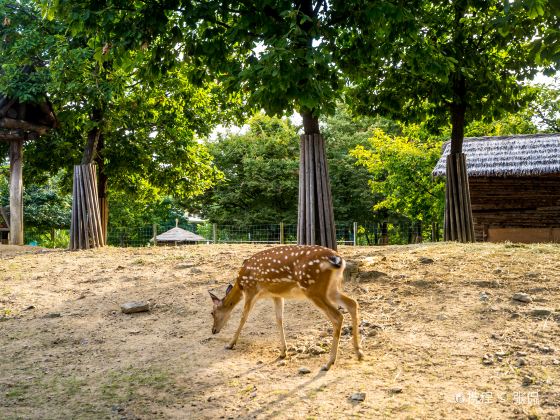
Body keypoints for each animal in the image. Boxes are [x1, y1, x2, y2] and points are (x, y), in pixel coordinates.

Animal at [209, 244, 364, 370]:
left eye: (212, 312)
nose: (214, 330)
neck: (241, 284)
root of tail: (338, 260)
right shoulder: (276, 295)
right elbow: (279, 319)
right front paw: (283, 352)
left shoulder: (251, 289)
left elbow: (243, 317)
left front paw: (230, 344)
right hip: (331, 289)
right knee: (352, 303)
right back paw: (359, 352)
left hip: (313, 289)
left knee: (337, 316)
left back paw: (329, 363)